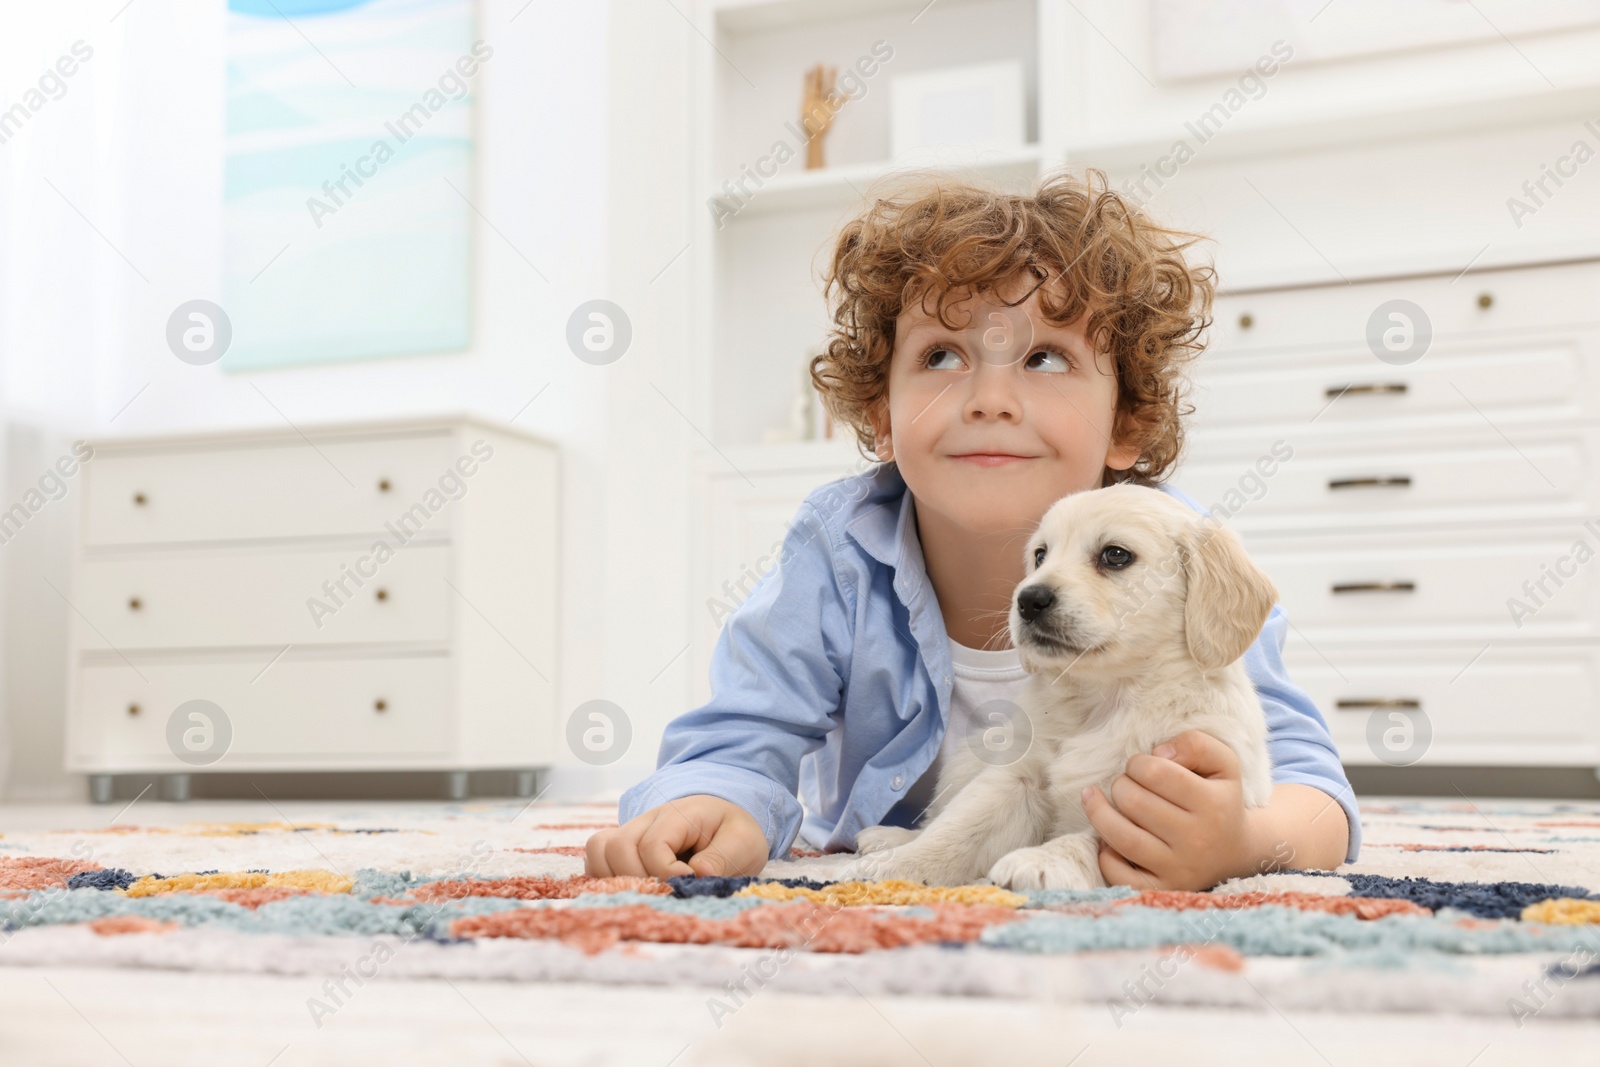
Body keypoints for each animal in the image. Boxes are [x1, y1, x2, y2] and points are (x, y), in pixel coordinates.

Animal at [838, 486, 1273, 895]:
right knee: (937, 816)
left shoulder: (1150, 806)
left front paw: (1041, 861)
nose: (1029, 599)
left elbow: (1093, 840)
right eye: (1040, 556)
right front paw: (894, 865)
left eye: (1116, 555)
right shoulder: (1018, 777)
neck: (1104, 700)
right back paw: (889, 839)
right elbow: (961, 826)